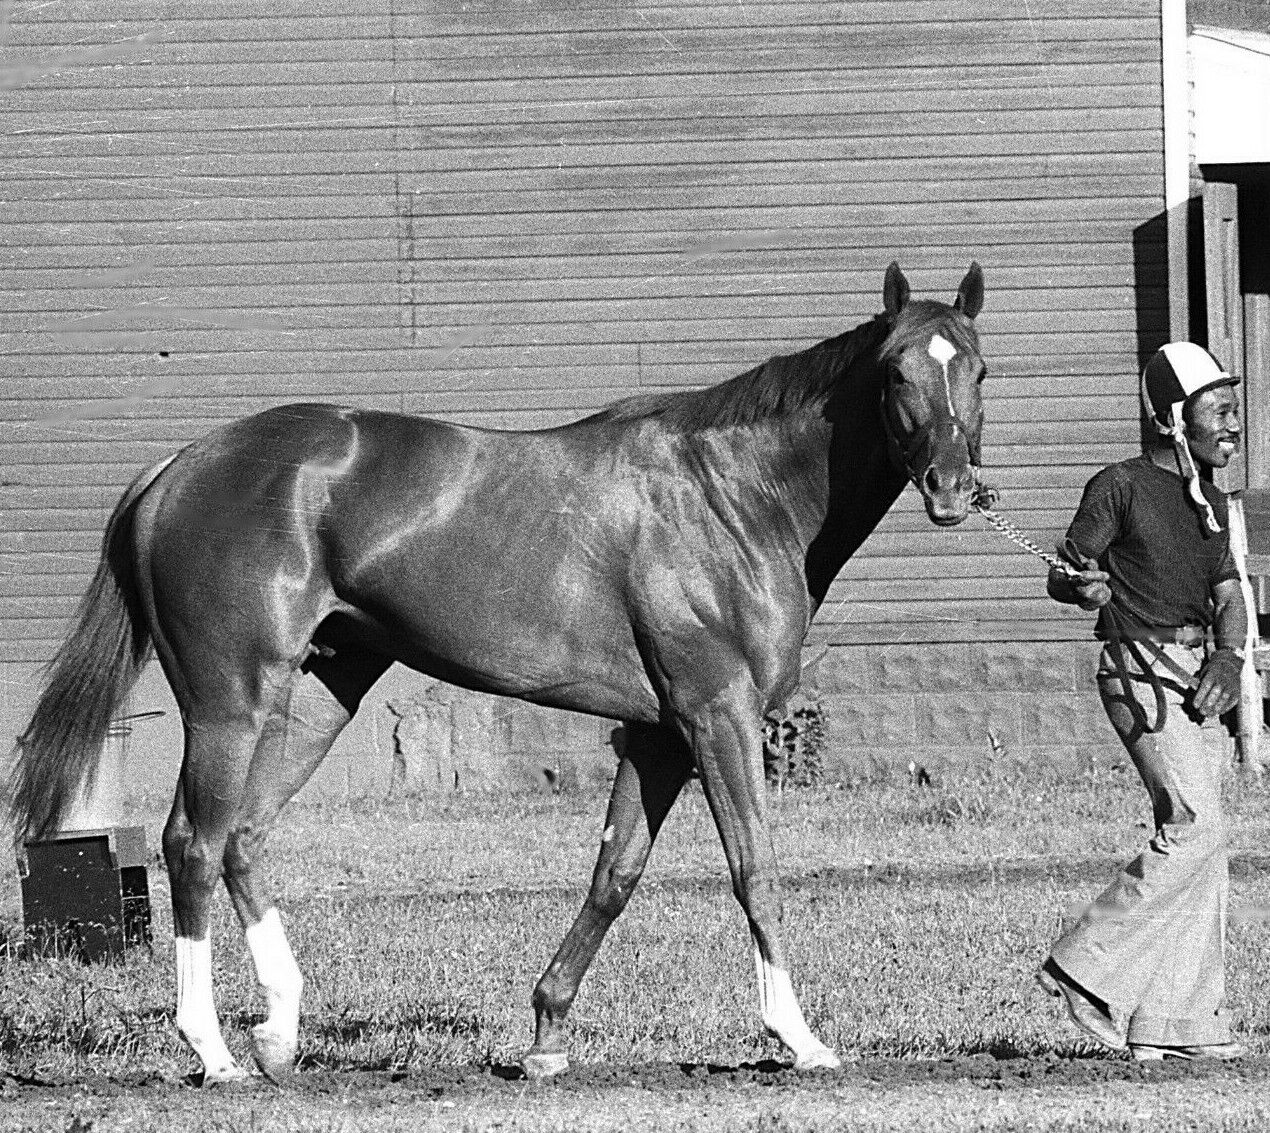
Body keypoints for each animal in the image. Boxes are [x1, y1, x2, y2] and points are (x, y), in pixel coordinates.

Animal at [4, 261, 985, 1082]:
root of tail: (178, 467)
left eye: (977, 368)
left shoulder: (658, 734)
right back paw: (211, 1049)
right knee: (193, 843)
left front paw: (547, 1034)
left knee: (243, 835)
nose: (951, 487)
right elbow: (755, 868)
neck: (730, 496)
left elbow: (614, 874)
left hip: (316, 698)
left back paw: (279, 1029)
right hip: (230, 702)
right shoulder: (718, 715)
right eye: (897, 370)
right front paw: (800, 1037)